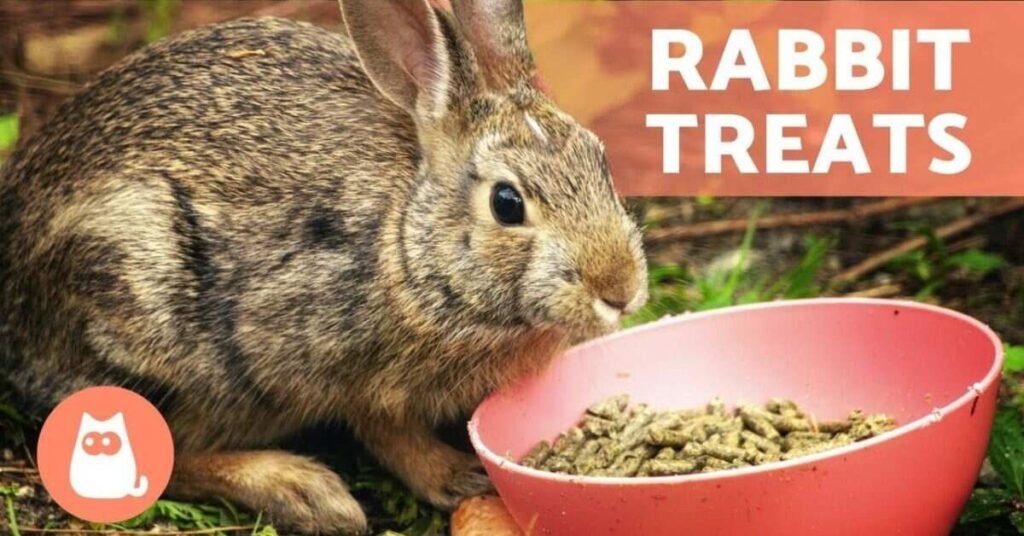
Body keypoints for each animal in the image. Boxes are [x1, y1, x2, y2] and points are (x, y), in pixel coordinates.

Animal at [0, 0, 648, 533]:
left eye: (601, 160)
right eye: (507, 204)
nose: (621, 291)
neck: (409, 243)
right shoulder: (327, 358)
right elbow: (386, 432)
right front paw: (456, 475)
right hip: (152, 314)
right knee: (167, 453)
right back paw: (306, 492)